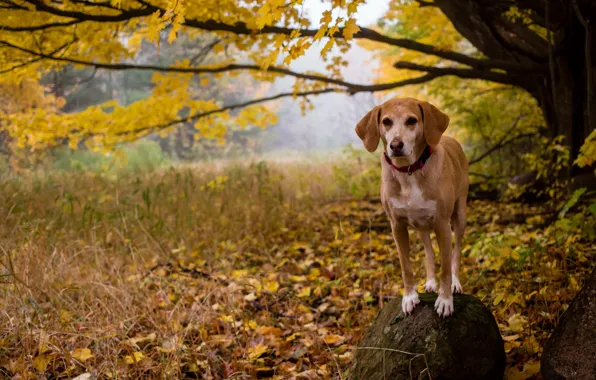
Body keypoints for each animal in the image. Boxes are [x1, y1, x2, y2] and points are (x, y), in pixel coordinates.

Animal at [356, 96, 468, 316]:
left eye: (411, 120)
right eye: (386, 122)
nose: (395, 145)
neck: (409, 171)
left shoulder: (442, 224)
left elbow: (446, 267)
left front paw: (445, 300)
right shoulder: (397, 226)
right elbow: (405, 266)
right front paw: (409, 297)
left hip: (458, 217)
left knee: (456, 252)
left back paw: (455, 283)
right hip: (421, 225)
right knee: (429, 251)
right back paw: (431, 281)